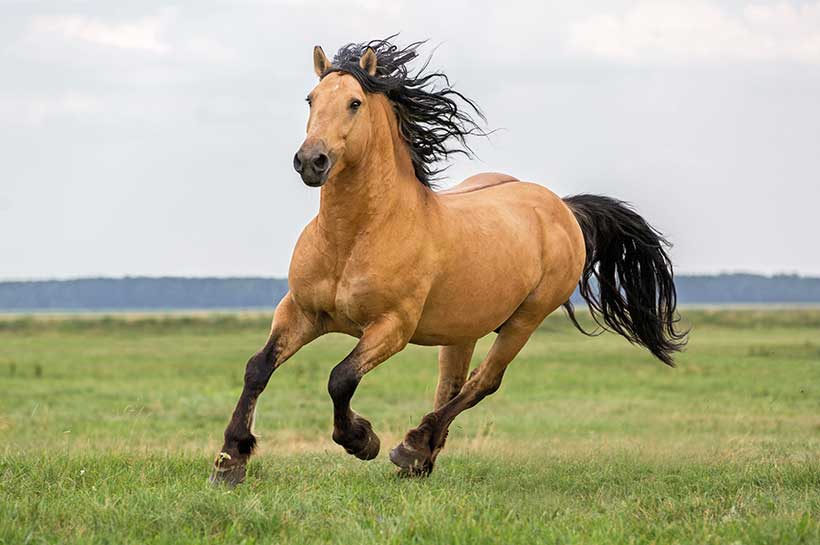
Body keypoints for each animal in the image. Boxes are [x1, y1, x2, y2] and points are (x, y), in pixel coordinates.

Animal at [210, 38, 684, 484]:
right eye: (310, 99)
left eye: (354, 103)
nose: (311, 161)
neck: (354, 237)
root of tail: (562, 207)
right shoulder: (301, 312)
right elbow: (258, 368)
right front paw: (230, 460)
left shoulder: (392, 327)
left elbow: (340, 378)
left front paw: (362, 440)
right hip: (463, 329)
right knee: (451, 385)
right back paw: (420, 459)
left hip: (525, 319)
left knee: (482, 383)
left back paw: (411, 448)